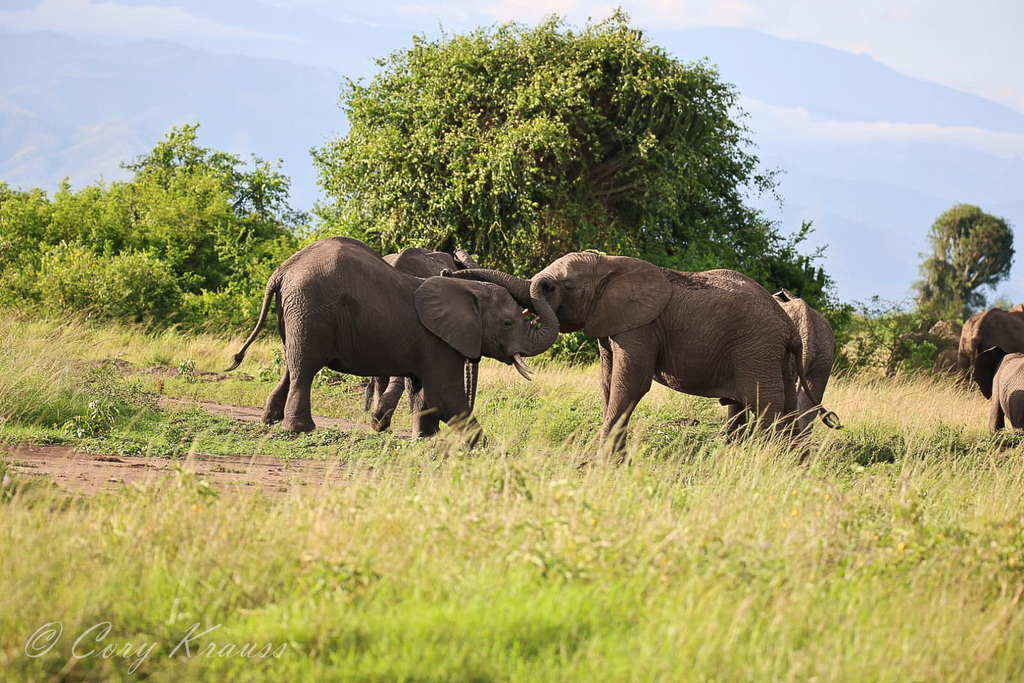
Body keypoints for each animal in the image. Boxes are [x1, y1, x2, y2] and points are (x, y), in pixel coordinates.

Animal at [453, 253, 811, 453]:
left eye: (566, 286)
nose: (449, 270)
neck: (610, 265)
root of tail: (789, 329)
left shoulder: (642, 327)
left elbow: (630, 384)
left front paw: (605, 461)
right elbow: (608, 382)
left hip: (756, 349)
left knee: (766, 405)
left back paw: (764, 461)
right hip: (772, 356)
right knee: (786, 408)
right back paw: (792, 465)